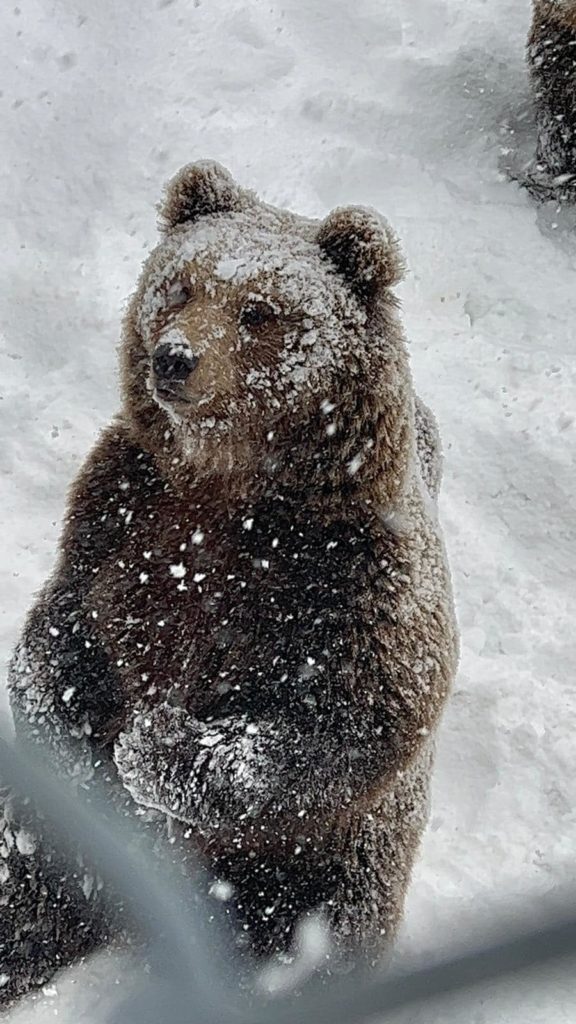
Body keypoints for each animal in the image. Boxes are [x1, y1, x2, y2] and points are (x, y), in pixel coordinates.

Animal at [2, 163, 455, 1003]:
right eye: (180, 285)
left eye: (258, 311)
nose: (176, 358)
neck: (227, 489)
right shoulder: (120, 511)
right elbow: (66, 625)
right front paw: (68, 733)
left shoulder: (355, 573)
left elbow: (358, 721)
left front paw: (153, 747)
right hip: (59, 846)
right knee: (22, 879)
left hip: (311, 879)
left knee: (308, 948)